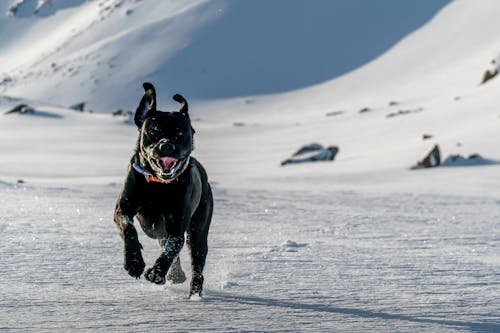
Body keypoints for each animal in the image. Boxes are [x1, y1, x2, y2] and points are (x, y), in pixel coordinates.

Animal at [113, 82, 213, 296]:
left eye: (180, 132)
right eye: (154, 131)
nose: (166, 146)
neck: (158, 186)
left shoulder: (178, 224)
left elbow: (172, 247)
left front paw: (157, 273)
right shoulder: (123, 208)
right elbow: (128, 229)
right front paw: (134, 262)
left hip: (199, 230)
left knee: (197, 265)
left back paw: (194, 293)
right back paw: (176, 274)